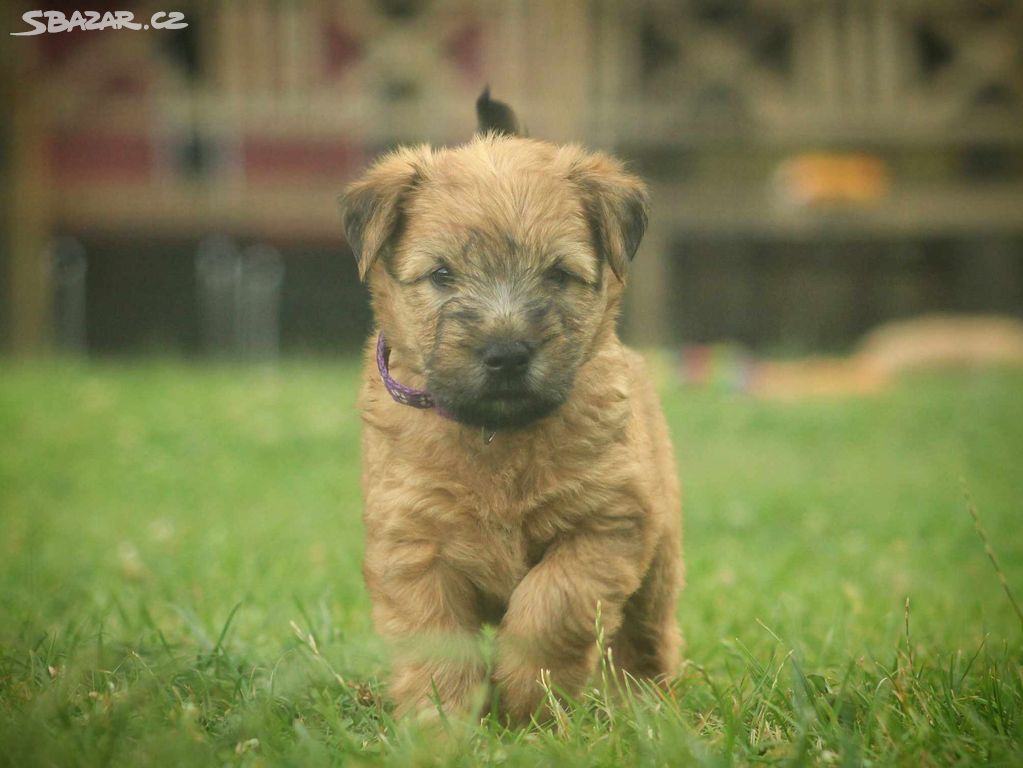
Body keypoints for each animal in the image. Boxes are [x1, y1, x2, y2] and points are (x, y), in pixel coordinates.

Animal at [339, 93, 683, 724]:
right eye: (442, 274)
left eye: (559, 273)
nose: (506, 353)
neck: (496, 436)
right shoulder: (415, 545)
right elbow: (436, 642)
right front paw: (441, 722)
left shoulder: (607, 525)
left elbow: (551, 606)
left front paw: (527, 698)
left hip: (659, 563)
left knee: (646, 640)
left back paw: (645, 710)